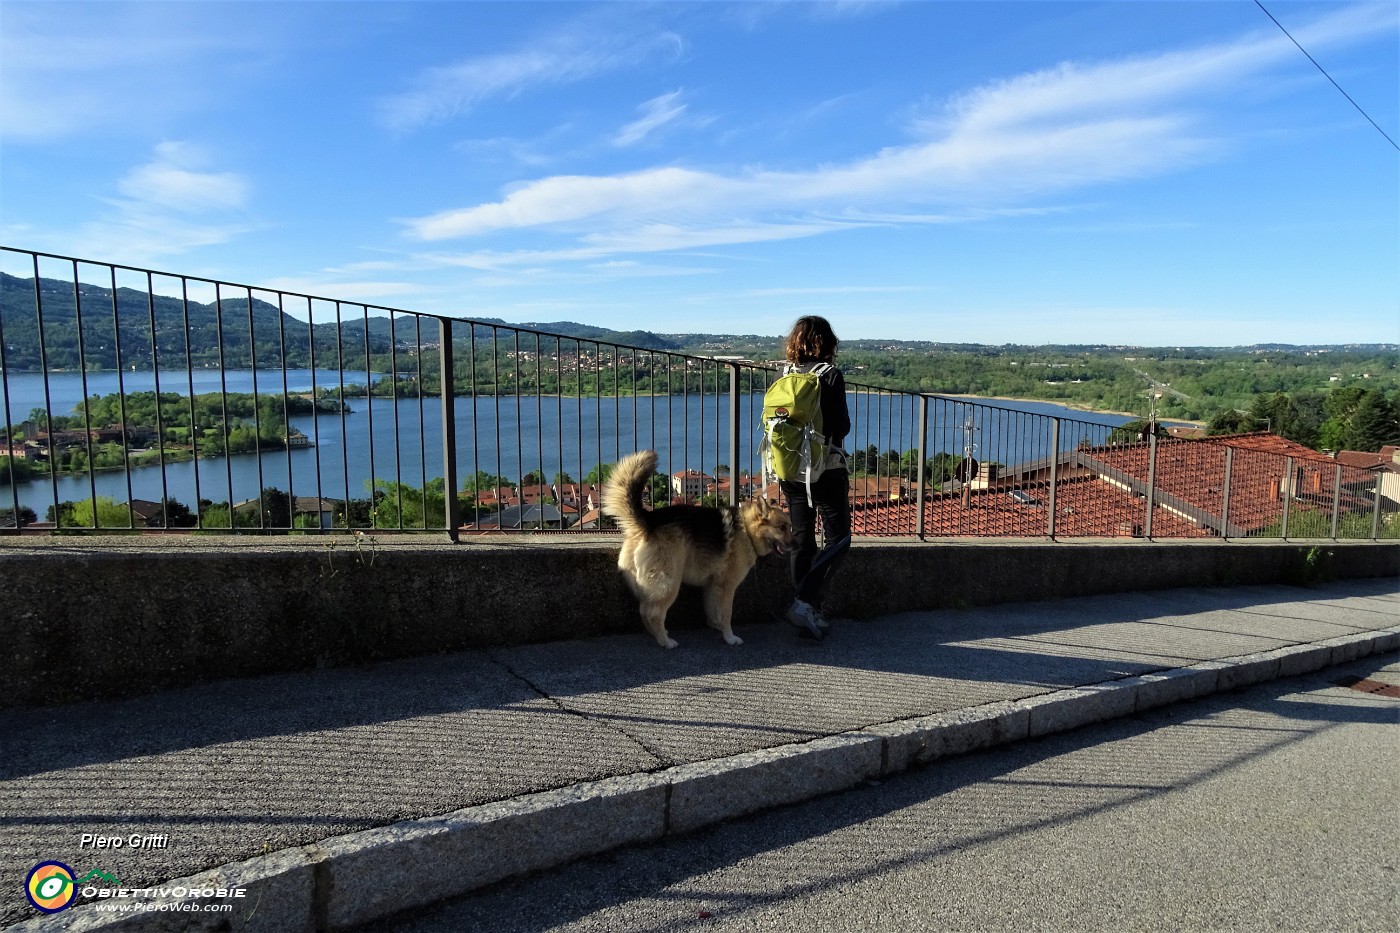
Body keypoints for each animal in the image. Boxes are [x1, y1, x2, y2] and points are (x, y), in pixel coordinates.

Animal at [604, 448, 795, 644]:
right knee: (653, 614)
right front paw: (729, 637)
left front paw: (716, 627)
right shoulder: (727, 587)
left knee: (644, 610)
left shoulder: (712, 586)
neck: (746, 529)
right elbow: (727, 614)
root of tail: (647, 522)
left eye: (789, 526)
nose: (795, 545)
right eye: (781, 527)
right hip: (669, 584)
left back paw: (657, 635)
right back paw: (665, 641)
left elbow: (713, 611)